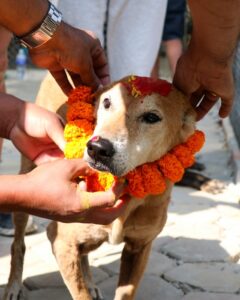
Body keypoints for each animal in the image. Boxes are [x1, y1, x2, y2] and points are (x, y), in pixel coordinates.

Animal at [3, 73, 196, 300]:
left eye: (151, 117)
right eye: (107, 102)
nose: (97, 147)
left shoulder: (140, 247)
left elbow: (124, 293)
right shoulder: (60, 241)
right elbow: (81, 294)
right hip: (25, 179)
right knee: (18, 244)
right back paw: (13, 285)